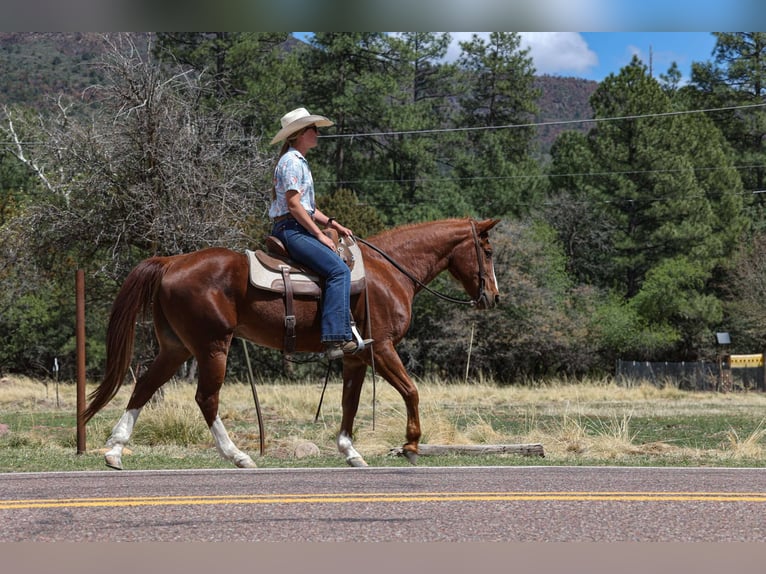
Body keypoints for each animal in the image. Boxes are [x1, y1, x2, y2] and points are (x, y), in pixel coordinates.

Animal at [83, 217, 501, 469]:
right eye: (489, 252)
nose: (494, 297)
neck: (388, 273)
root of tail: (171, 262)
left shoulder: (356, 357)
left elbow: (349, 402)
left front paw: (351, 452)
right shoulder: (381, 348)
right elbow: (411, 391)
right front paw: (411, 446)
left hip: (176, 348)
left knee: (144, 386)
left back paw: (115, 450)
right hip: (213, 346)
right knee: (206, 399)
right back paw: (238, 456)